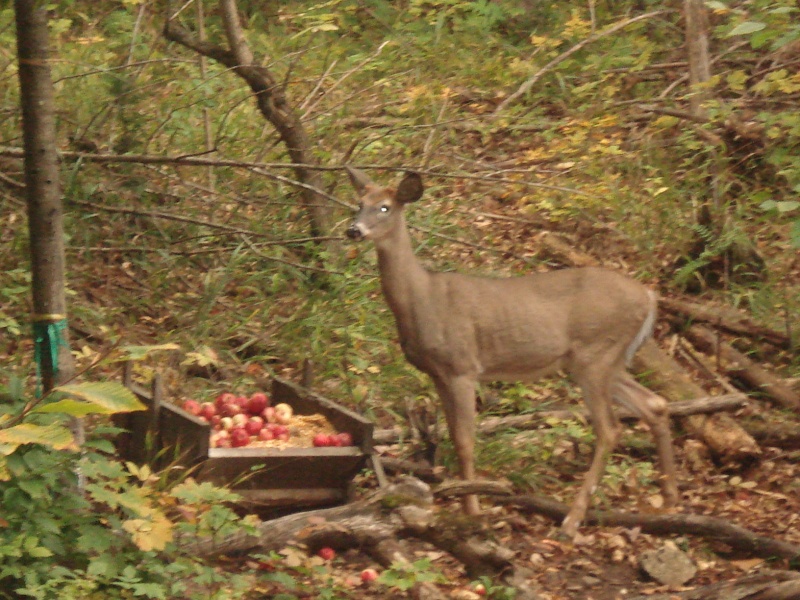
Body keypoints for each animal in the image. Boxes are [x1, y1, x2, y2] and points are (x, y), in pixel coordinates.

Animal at [342, 166, 676, 536]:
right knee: (655, 404)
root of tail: (649, 296)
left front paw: (472, 509)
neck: (422, 298)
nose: (353, 229)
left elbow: (465, 440)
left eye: (385, 207)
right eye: (359, 203)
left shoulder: (462, 366)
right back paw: (670, 497)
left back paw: (572, 520)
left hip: (595, 353)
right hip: (607, 360)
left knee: (610, 429)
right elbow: (452, 435)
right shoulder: (438, 374)